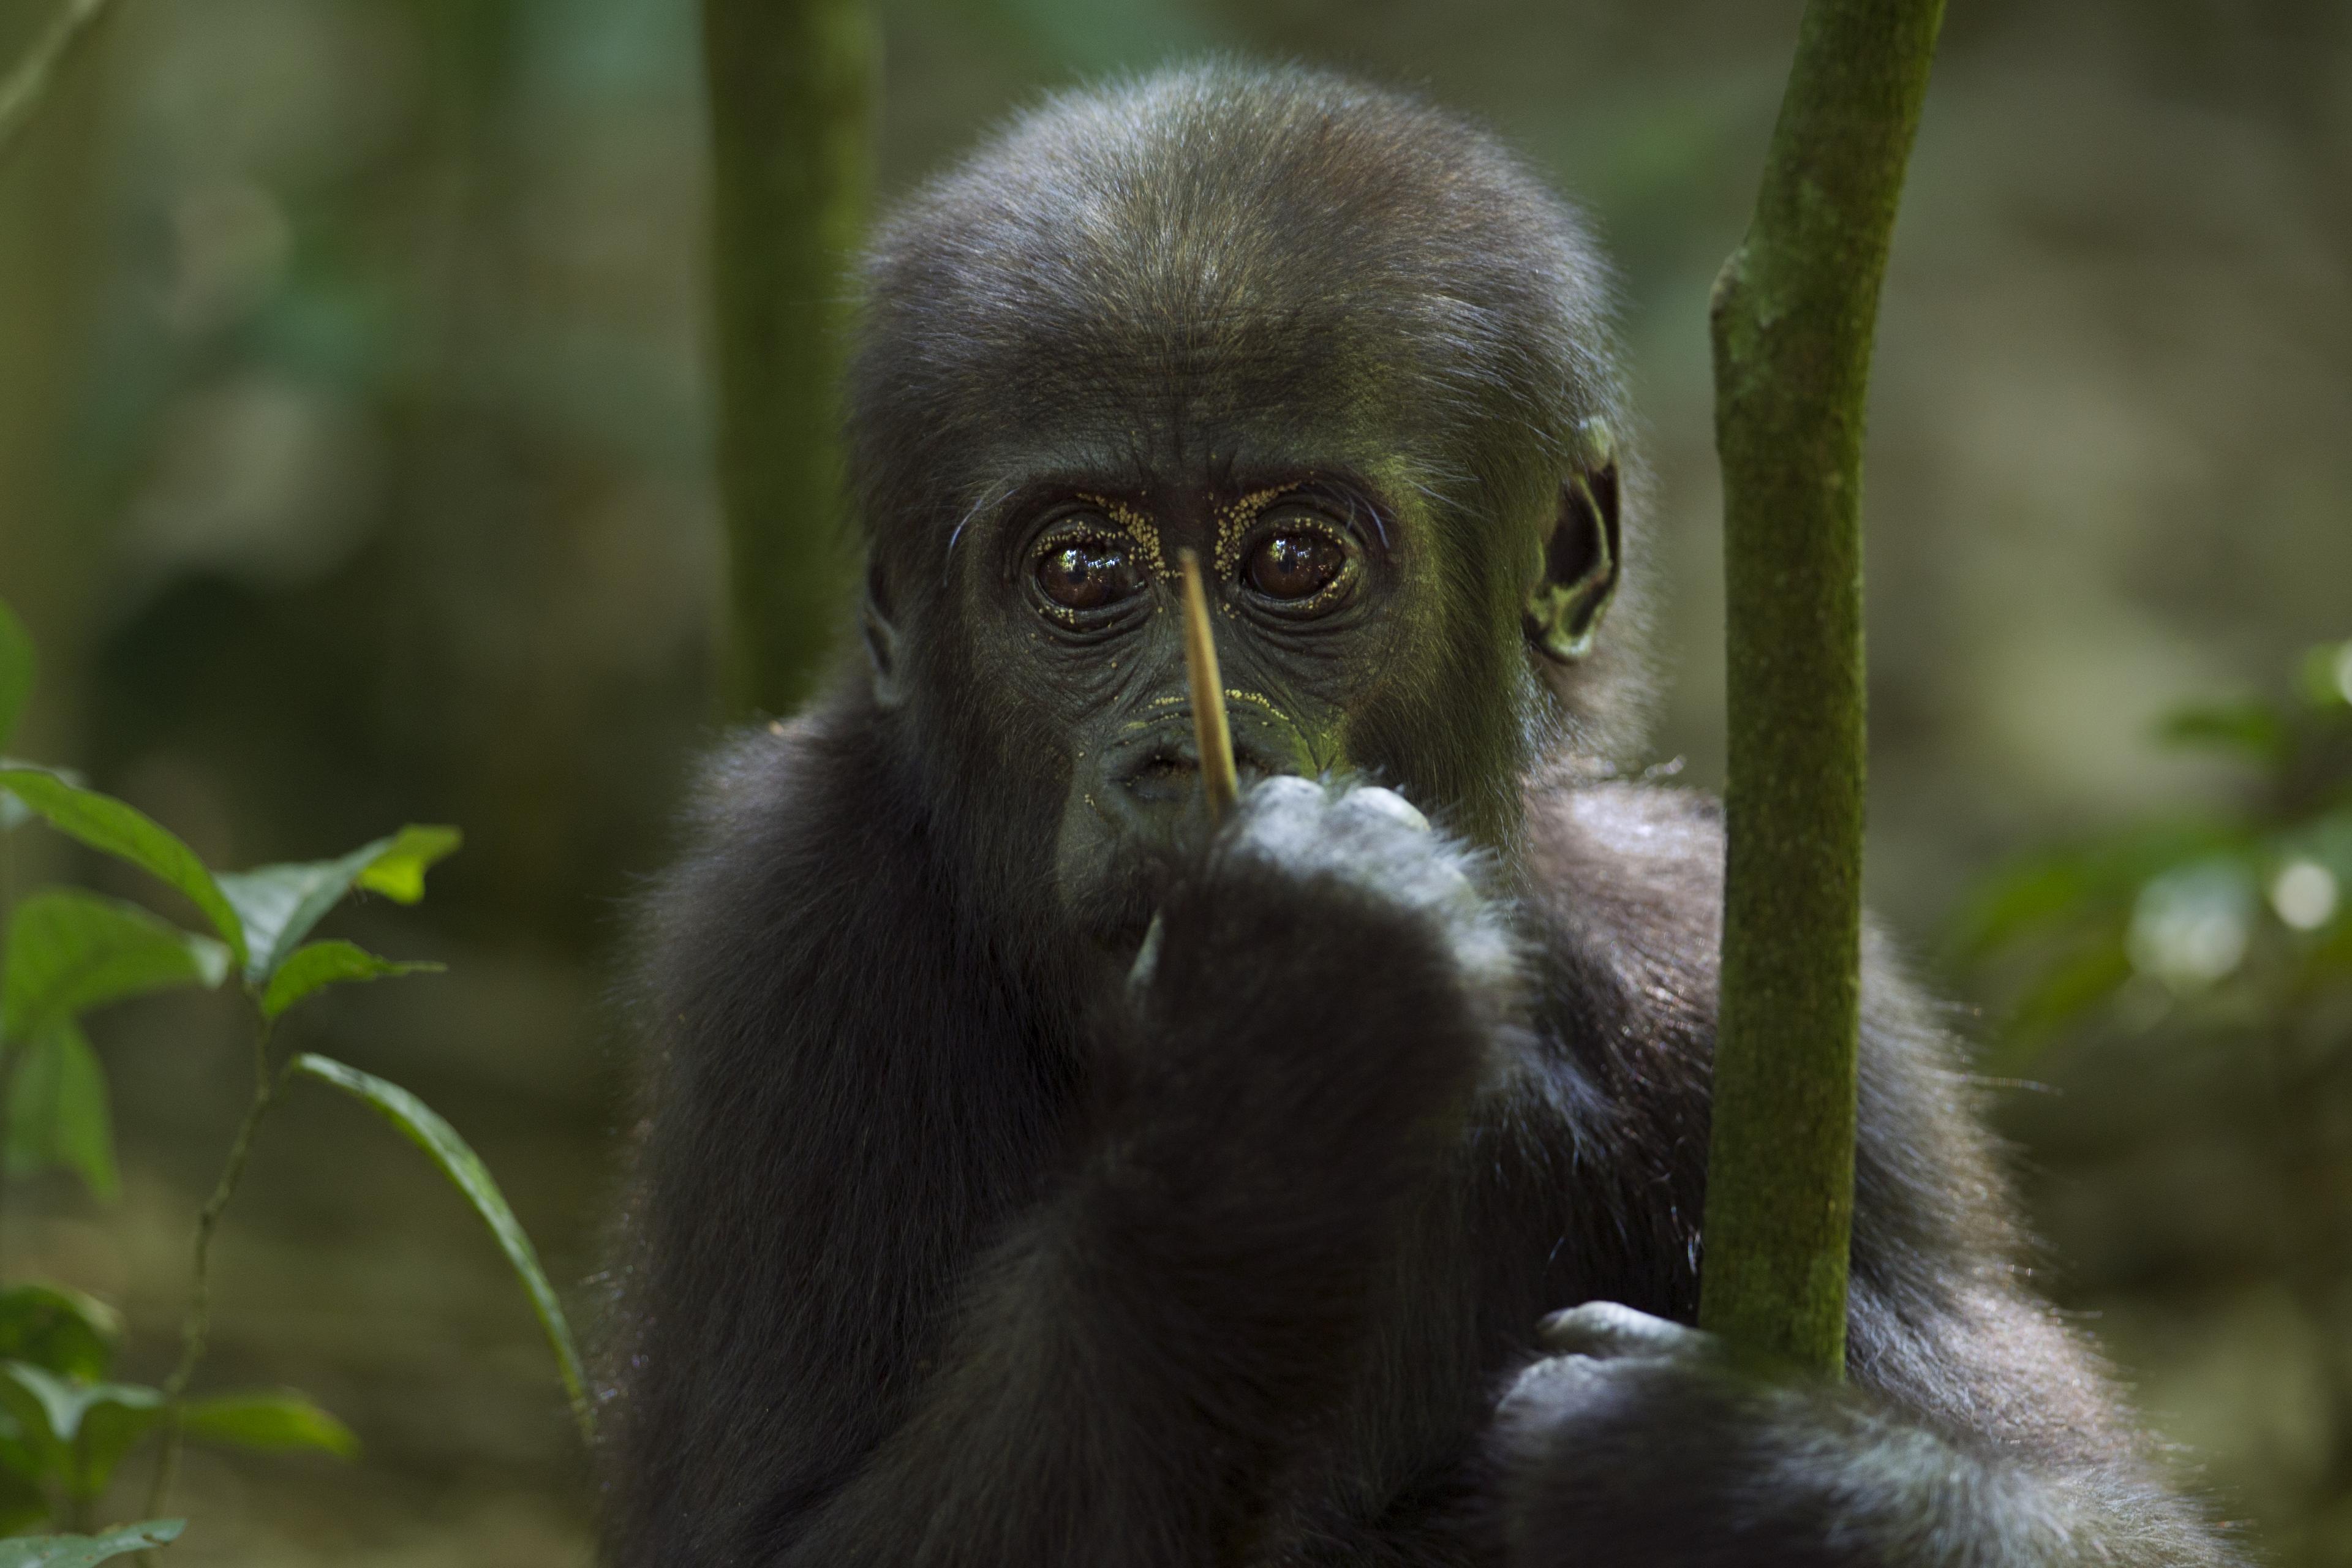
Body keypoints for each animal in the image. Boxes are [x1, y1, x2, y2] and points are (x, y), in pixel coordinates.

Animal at [596, 62, 2238, 1566]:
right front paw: (1280, 1064)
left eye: (1294, 556)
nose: (1187, 759)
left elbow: (2110, 1509)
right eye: (1079, 569)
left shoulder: (1762, 1000)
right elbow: (772, 1532)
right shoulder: (784, 930)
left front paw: (1728, 1469)